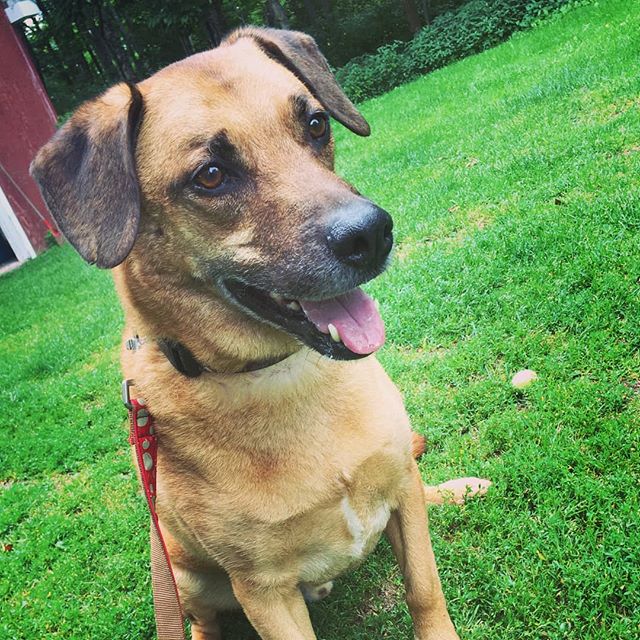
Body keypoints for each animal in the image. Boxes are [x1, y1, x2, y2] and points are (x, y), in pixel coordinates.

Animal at [31, 26, 490, 640]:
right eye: (210, 175)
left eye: (316, 124)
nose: (371, 235)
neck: (288, 376)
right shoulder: (263, 590)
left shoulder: (399, 495)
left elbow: (424, 589)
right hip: (187, 575)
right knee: (200, 617)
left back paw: (457, 490)